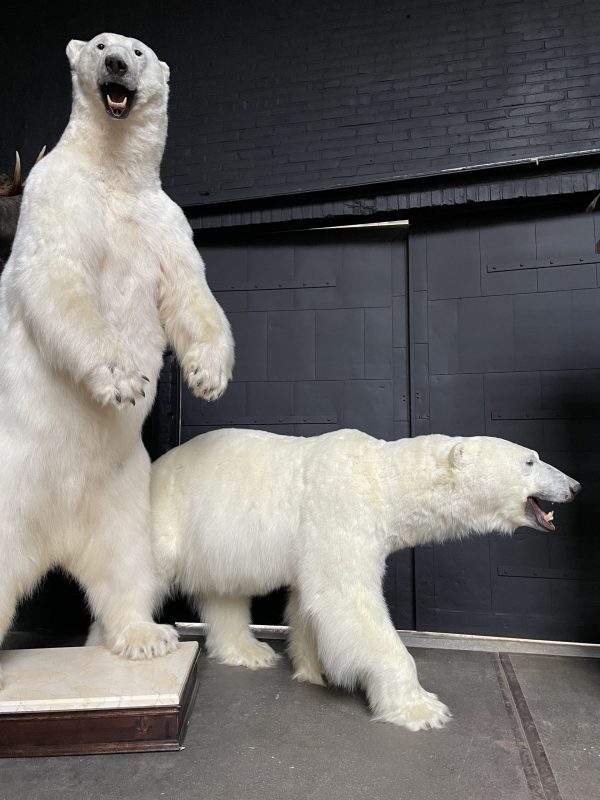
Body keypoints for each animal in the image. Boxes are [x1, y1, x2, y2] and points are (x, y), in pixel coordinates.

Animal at [0, 32, 233, 688]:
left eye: (139, 50)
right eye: (100, 43)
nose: (115, 65)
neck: (113, 172)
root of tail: (53, 538)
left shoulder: (164, 223)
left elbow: (191, 293)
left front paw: (209, 375)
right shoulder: (57, 197)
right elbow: (59, 277)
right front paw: (124, 380)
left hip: (123, 493)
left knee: (126, 565)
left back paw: (144, 636)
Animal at [89, 432, 580, 732]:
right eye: (530, 460)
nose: (575, 485)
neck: (384, 478)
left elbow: (308, 601)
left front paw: (315, 668)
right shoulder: (342, 507)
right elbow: (347, 598)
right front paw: (423, 707)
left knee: (226, 593)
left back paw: (250, 652)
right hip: (166, 518)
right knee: (134, 574)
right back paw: (126, 640)